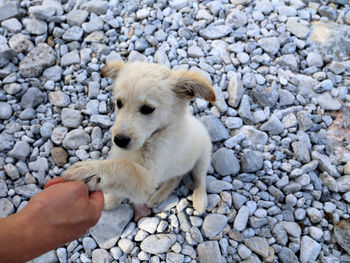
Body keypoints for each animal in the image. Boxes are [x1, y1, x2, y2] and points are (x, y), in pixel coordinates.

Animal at [63, 62, 216, 214]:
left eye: (147, 109)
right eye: (119, 103)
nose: (119, 140)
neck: (153, 136)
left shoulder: (149, 177)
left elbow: (125, 167)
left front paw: (91, 169)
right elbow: (119, 188)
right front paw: (108, 202)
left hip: (203, 158)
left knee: (199, 178)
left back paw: (200, 200)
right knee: (176, 177)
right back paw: (157, 197)